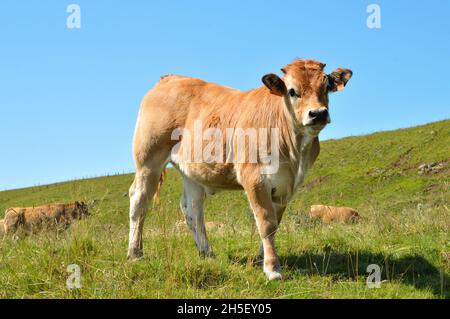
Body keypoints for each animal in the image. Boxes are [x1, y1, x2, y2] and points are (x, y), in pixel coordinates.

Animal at [128, 58, 354, 280]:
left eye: (326, 86)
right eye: (292, 91)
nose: (318, 113)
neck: (294, 150)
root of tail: (171, 78)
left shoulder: (286, 186)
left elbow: (275, 223)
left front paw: (261, 260)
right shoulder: (254, 178)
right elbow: (266, 222)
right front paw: (272, 269)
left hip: (192, 172)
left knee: (192, 209)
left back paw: (207, 253)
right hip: (148, 159)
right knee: (139, 200)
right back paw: (135, 254)